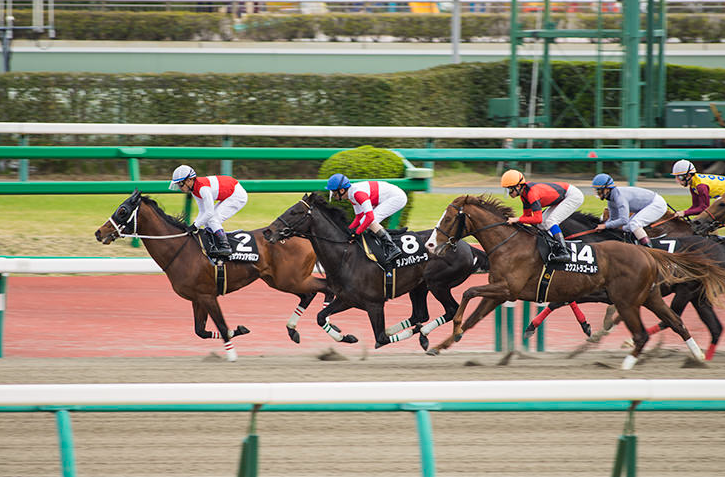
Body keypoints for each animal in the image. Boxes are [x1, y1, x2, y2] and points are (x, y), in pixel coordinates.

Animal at [94, 190, 332, 360]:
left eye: (122, 210)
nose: (99, 232)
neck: (181, 248)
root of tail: (302, 236)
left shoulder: (208, 296)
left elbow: (222, 327)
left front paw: (232, 354)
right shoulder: (197, 298)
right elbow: (201, 330)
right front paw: (240, 329)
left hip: (290, 279)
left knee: (325, 287)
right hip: (281, 280)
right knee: (310, 294)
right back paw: (299, 329)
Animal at [260, 192, 486, 350]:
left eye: (295, 212)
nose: (268, 231)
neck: (346, 254)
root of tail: (467, 246)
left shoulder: (374, 304)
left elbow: (381, 338)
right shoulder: (347, 299)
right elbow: (321, 317)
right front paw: (347, 337)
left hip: (438, 284)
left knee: (450, 309)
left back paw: (423, 333)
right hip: (419, 286)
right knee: (420, 313)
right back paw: (420, 333)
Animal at [536, 211, 724, 356]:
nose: (547, 249)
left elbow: (559, 301)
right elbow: (560, 301)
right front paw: (587, 327)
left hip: (685, 291)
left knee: (672, 318)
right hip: (697, 296)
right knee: (714, 327)